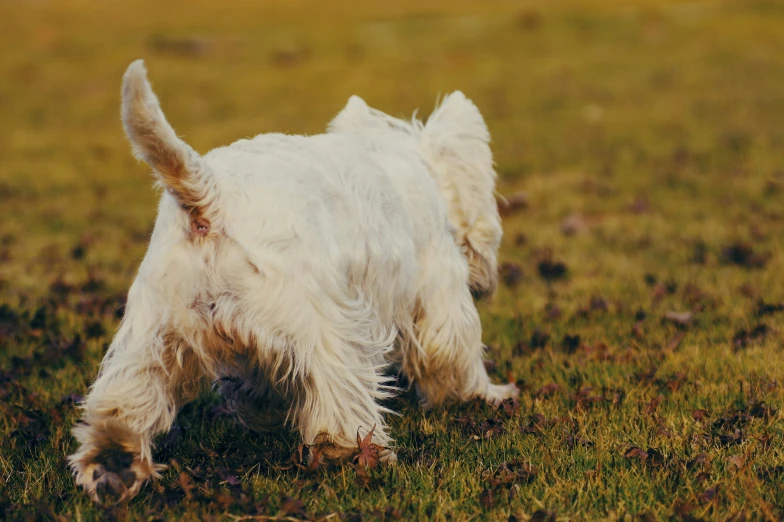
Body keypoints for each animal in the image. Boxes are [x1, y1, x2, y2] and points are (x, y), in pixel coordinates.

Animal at [69, 59, 516, 502]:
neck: (416, 166)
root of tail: (211, 197)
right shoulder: (438, 286)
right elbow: (453, 353)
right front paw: (486, 394)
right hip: (319, 323)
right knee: (338, 396)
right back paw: (350, 454)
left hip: (154, 330)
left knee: (124, 399)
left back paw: (114, 464)